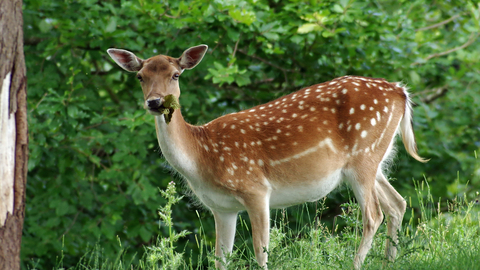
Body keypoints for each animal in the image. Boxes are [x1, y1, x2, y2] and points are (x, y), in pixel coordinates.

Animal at [107, 45, 426, 268]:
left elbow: (261, 253)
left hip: (363, 156)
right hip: (374, 160)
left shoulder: (256, 189)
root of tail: (401, 92)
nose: (155, 102)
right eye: (140, 76)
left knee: (374, 215)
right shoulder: (221, 208)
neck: (201, 158)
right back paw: (389, 263)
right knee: (397, 203)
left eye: (175, 74)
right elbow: (220, 259)